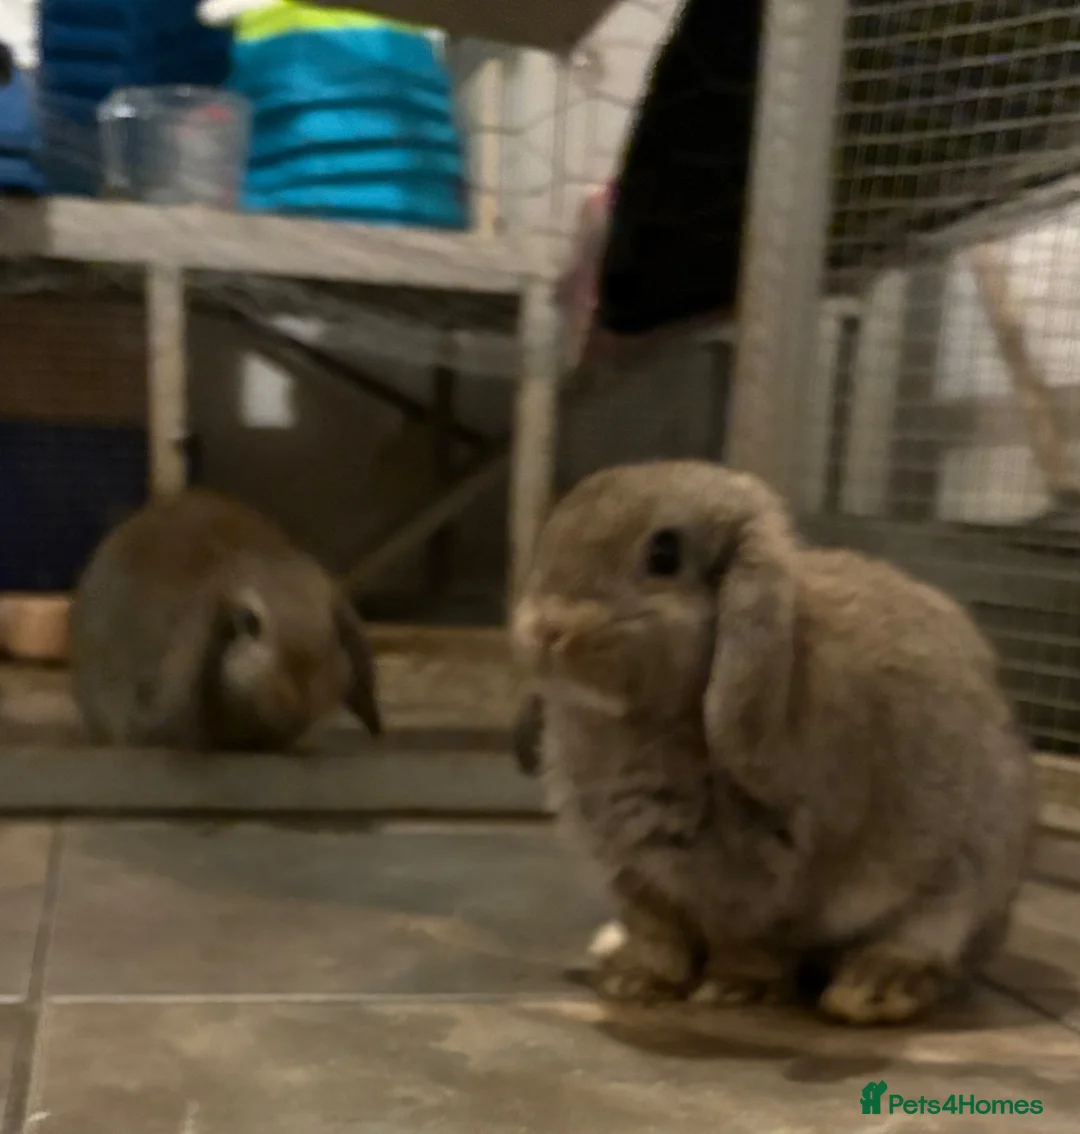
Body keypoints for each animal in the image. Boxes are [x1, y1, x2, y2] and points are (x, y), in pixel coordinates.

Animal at [511, 459, 1035, 1026]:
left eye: (664, 555)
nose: (544, 630)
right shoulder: (635, 872)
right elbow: (658, 932)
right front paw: (635, 981)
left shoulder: (773, 881)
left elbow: (749, 943)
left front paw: (733, 990)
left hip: (966, 874)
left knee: (933, 944)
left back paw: (872, 988)